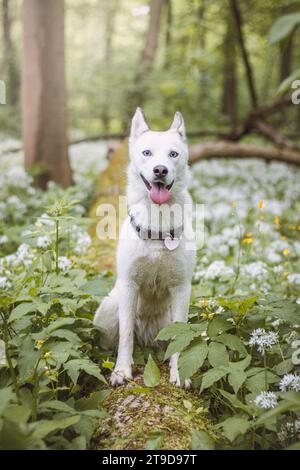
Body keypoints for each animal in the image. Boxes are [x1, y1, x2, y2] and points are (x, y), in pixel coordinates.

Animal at [94, 108, 197, 388]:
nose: (160, 170)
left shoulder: (181, 287)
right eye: (147, 153)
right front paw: (121, 371)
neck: (158, 225)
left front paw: (179, 373)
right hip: (109, 309)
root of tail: (148, 338)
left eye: (173, 154)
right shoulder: (129, 284)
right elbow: (126, 336)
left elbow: (180, 338)